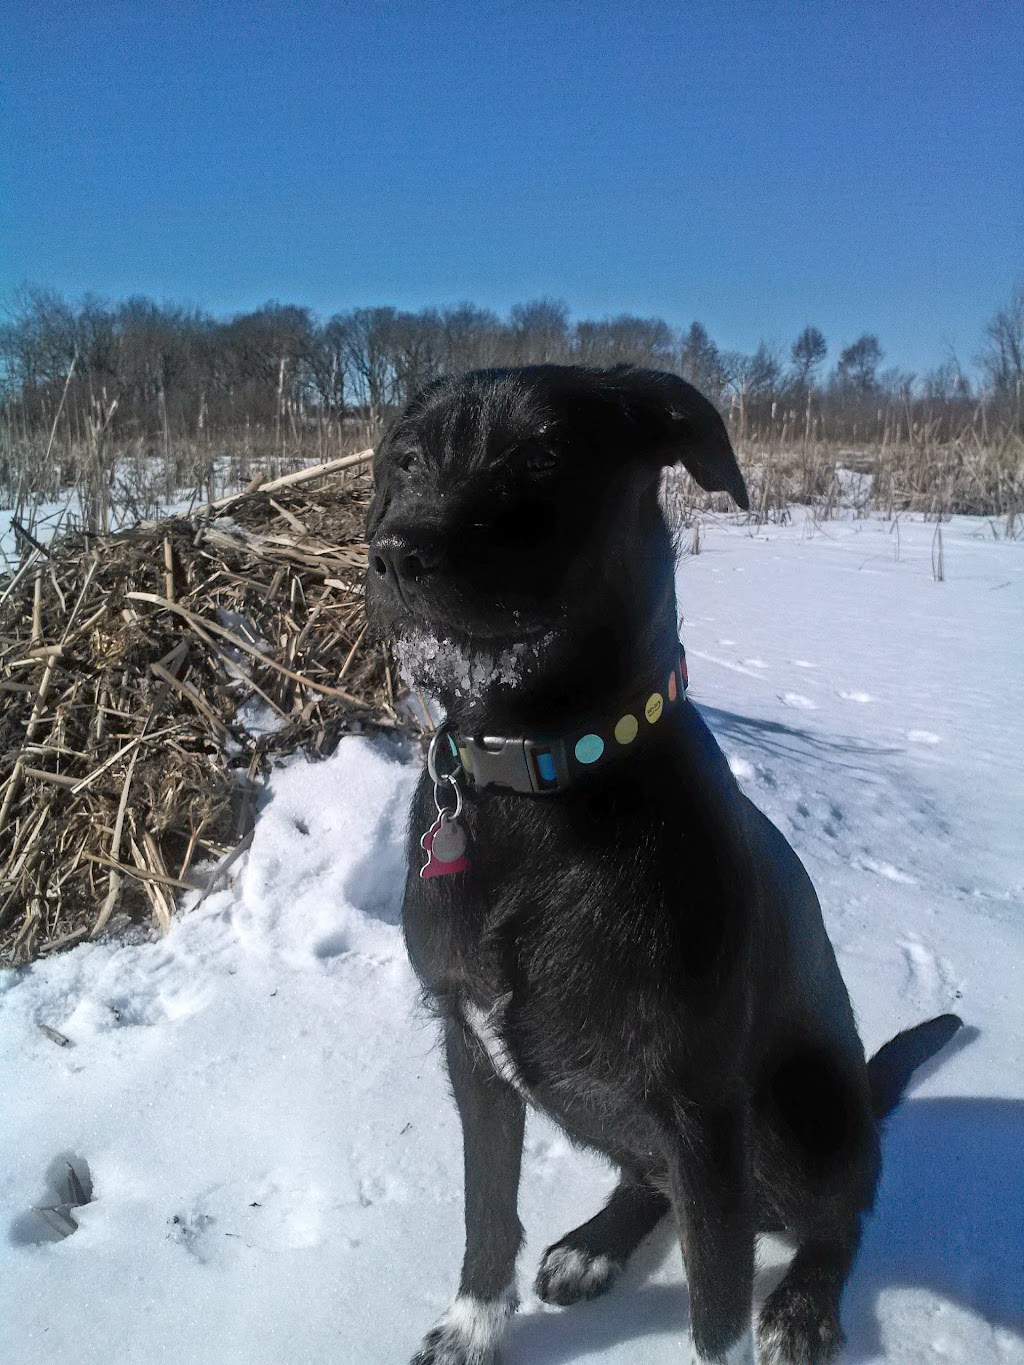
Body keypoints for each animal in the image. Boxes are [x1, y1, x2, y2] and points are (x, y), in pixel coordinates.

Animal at [365, 365, 966, 1365]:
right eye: (404, 459)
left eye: (543, 455)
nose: (396, 554)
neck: (539, 786)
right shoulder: (471, 1050)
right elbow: (486, 1211)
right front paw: (472, 1326)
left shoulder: (703, 1107)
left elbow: (716, 1298)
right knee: (648, 1179)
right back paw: (595, 1244)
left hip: (803, 1115)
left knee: (839, 1218)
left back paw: (803, 1304)